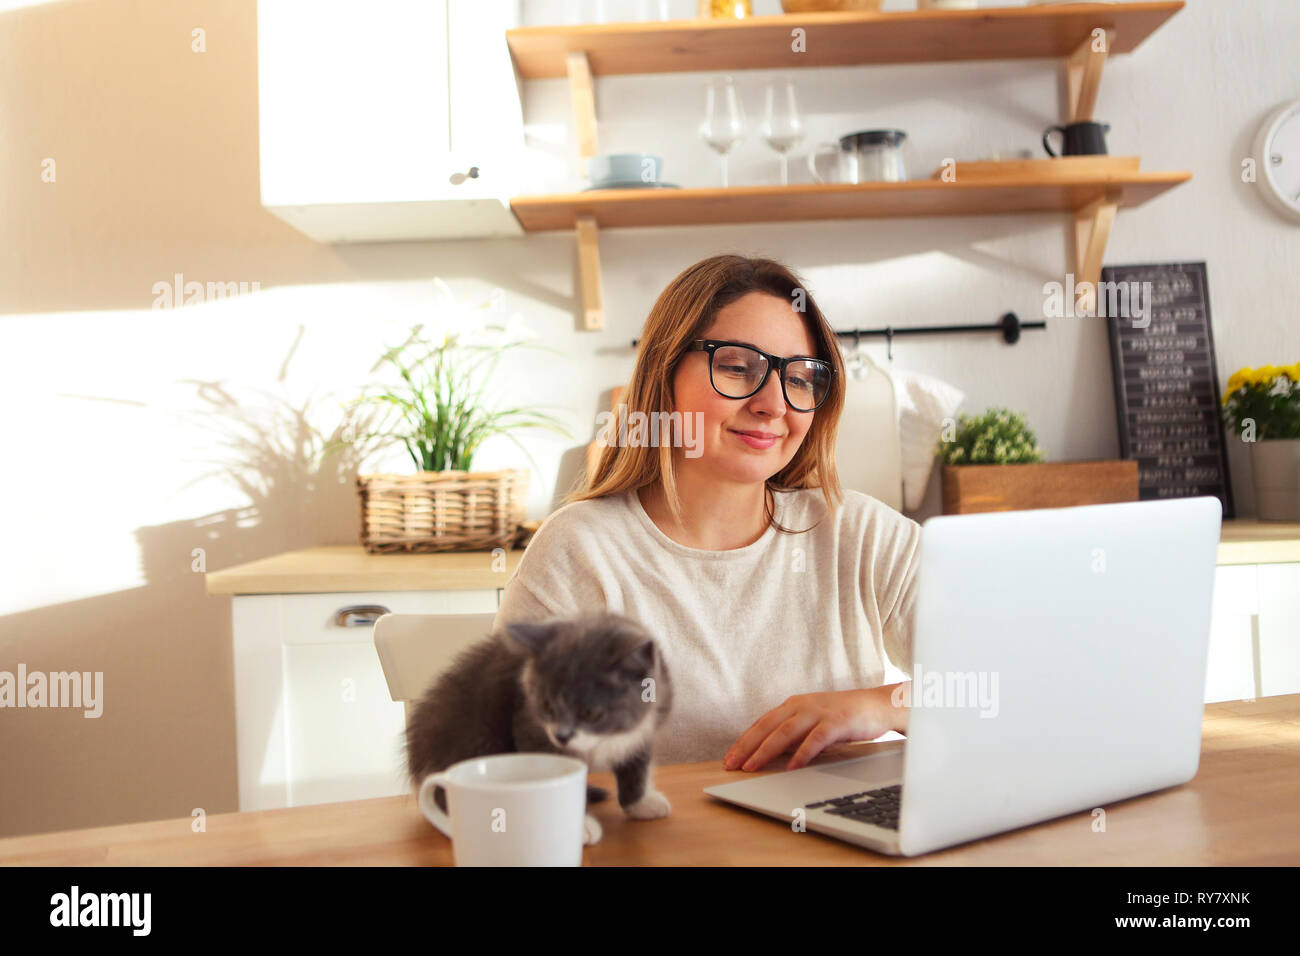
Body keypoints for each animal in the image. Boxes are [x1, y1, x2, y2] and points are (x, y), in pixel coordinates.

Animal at [403, 613, 670, 842]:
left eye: (591, 713)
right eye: (546, 705)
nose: (561, 736)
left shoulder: (645, 726)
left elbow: (636, 765)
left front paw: (641, 803)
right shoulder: (530, 725)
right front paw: (579, 826)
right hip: (474, 735)